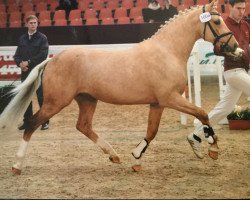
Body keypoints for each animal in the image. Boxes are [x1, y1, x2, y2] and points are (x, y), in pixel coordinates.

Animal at [0, 0, 242, 175]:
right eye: (217, 22)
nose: (236, 48)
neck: (167, 51)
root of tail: (51, 60)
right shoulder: (170, 98)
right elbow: (202, 113)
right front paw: (211, 148)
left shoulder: (157, 103)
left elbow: (152, 132)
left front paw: (136, 158)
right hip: (56, 102)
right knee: (32, 124)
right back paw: (17, 165)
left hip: (87, 99)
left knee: (83, 126)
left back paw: (114, 155)